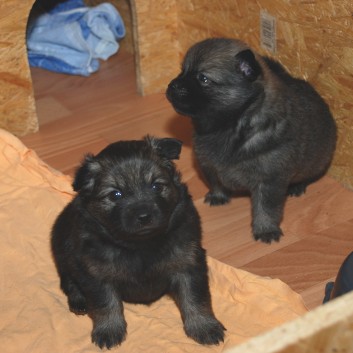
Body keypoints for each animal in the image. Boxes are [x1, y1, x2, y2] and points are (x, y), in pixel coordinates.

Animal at [51, 136, 224, 348]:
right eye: (115, 195)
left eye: (156, 186)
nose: (144, 216)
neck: (140, 244)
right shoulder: (95, 272)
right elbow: (105, 303)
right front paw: (109, 329)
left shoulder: (189, 262)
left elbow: (195, 297)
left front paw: (204, 326)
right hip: (63, 250)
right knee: (68, 281)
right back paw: (78, 300)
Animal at [165, 37, 336, 242]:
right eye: (183, 71)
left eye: (203, 78)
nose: (172, 85)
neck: (231, 126)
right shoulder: (208, 164)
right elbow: (216, 182)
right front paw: (218, 196)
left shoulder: (269, 181)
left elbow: (266, 208)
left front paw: (265, 229)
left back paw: (297, 186)